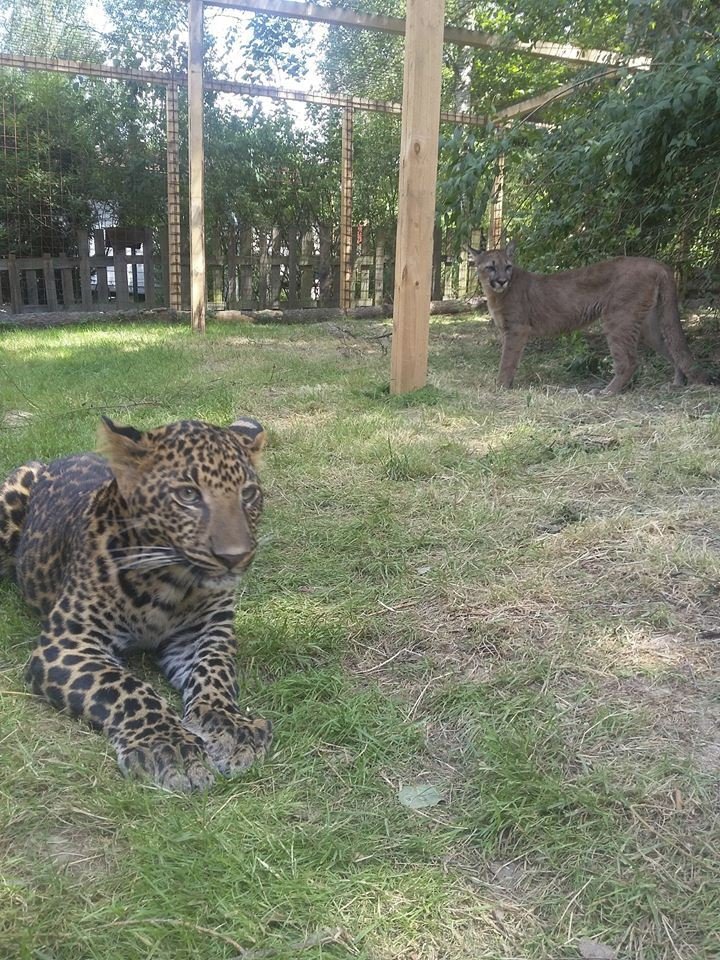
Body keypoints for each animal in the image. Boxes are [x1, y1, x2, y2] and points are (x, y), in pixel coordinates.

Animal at [0, 416, 272, 792]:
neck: (168, 581)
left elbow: (214, 672)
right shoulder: (68, 642)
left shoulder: (204, 633)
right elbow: (126, 687)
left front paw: (229, 726)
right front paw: (169, 745)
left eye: (248, 494)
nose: (235, 558)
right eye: (188, 495)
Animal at [470, 242, 712, 396]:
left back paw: (606, 392)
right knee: (673, 349)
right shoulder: (509, 331)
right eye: (491, 267)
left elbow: (506, 361)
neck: (496, 293)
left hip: (617, 318)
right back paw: (677, 384)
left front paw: (500, 386)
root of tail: (658, 263)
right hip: (648, 326)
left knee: (629, 361)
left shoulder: (517, 330)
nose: (501, 280)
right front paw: (506, 385)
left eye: (507, 266)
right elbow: (509, 360)